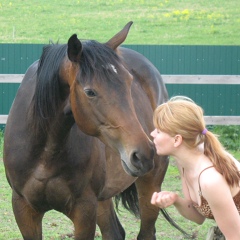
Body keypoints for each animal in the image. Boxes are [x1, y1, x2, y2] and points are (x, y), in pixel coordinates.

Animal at [3, 21, 176, 239]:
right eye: (90, 92)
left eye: (130, 83)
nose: (143, 153)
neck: (45, 151)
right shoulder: (24, 208)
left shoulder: (84, 210)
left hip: (150, 184)